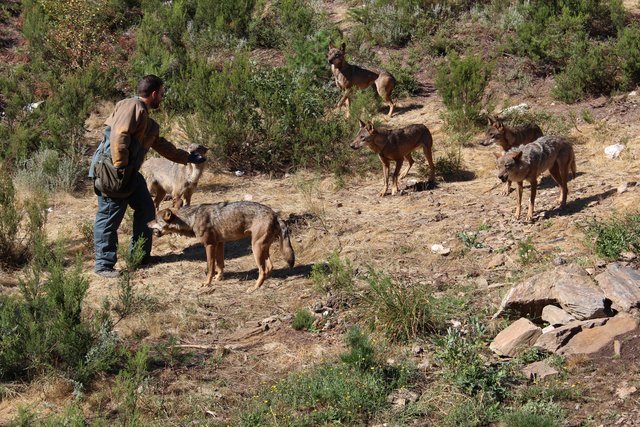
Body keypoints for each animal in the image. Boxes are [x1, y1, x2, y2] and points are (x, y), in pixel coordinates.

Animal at [148, 202, 296, 292]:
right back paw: (264, 283)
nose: (146, 223)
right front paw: (219, 278)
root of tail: (276, 215)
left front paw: (207, 283)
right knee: (269, 267)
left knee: (263, 270)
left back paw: (254, 288)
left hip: (256, 248)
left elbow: (210, 267)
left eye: (155, 219)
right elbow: (220, 264)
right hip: (261, 248)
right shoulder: (220, 243)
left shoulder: (209, 245)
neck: (191, 218)